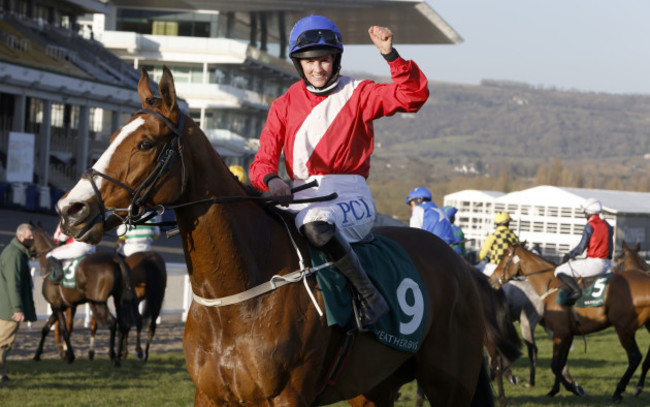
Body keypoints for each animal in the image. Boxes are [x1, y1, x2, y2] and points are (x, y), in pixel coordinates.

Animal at [29, 225, 139, 368]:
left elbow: (64, 329)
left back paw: (113, 356)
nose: (28, 252)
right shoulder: (61, 306)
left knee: (112, 322)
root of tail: (115, 259)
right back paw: (119, 357)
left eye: (29, 236)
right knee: (123, 323)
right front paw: (37, 355)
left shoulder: (56, 305)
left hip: (98, 302)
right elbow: (46, 328)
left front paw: (70, 356)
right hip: (118, 299)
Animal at [55, 67, 492, 407]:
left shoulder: (287, 396)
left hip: (450, 383)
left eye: (145, 143)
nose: (70, 208)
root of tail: (458, 264)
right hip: (374, 385)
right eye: (113, 133)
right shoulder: (209, 394)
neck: (235, 299)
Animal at [488, 244, 648, 404]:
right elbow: (560, 362)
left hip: (623, 328)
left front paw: (574, 388)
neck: (549, 284)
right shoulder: (567, 333)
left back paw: (618, 392)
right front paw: (556, 390)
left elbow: (555, 365)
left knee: (635, 357)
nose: (491, 280)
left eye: (503, 258)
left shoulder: (560, 332)